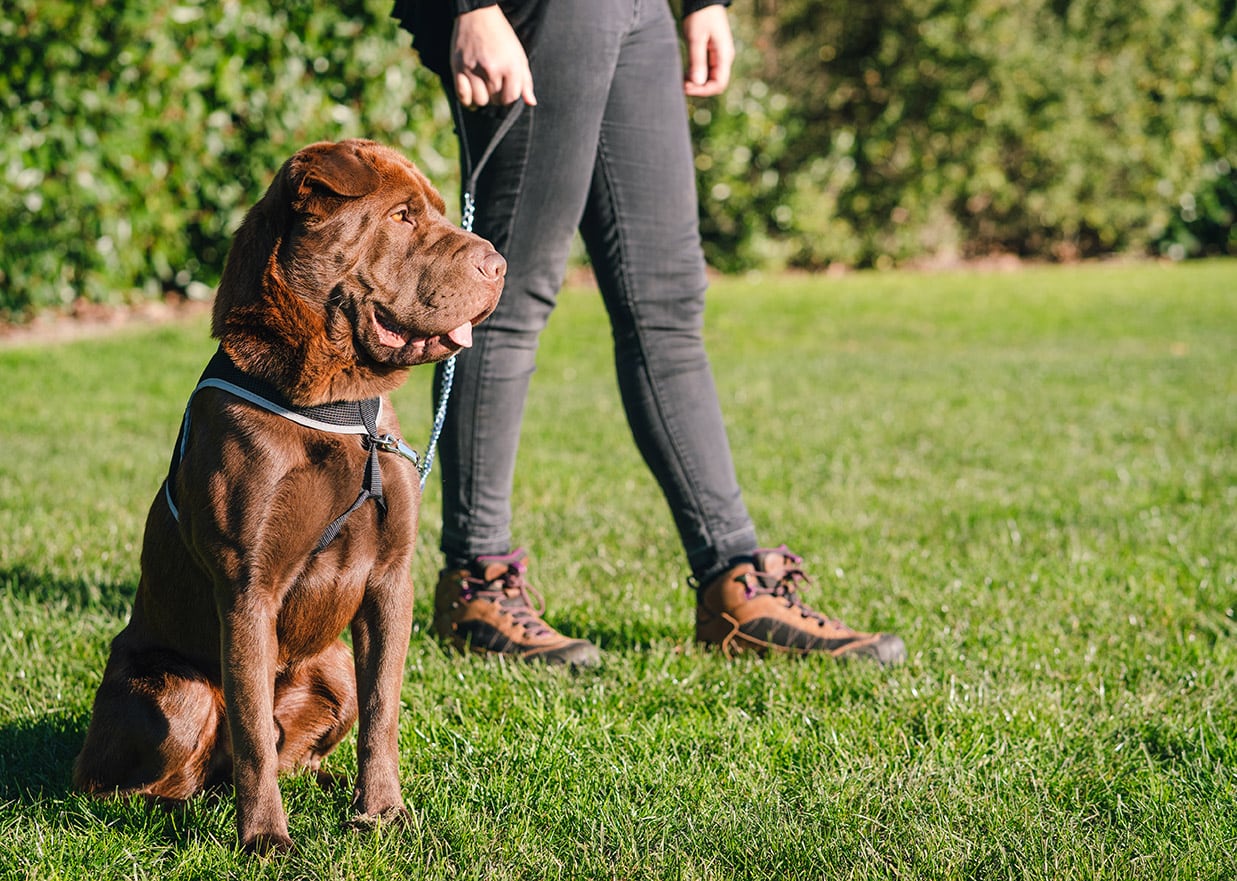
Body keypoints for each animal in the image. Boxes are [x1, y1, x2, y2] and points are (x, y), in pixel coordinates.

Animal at [72, 139, 504, 851]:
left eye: (440, 211)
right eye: (403, 217)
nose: (498, 264)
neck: (332, 404)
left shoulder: (391, 578)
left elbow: (382, 709)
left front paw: (382, 812)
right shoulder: (248, 587)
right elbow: (252, 733)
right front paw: (265, 840)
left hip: (331, 667)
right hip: (173, 694)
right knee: (133, 777)